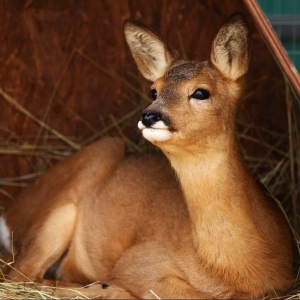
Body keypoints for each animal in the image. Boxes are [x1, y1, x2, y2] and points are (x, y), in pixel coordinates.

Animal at [0, 13, 294, 298]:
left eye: (201, 92)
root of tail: (10, 213)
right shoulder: (139, 260)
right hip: (63, 206)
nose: (150, 115)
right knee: (20, 276)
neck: (235, 268)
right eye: (154, 90)